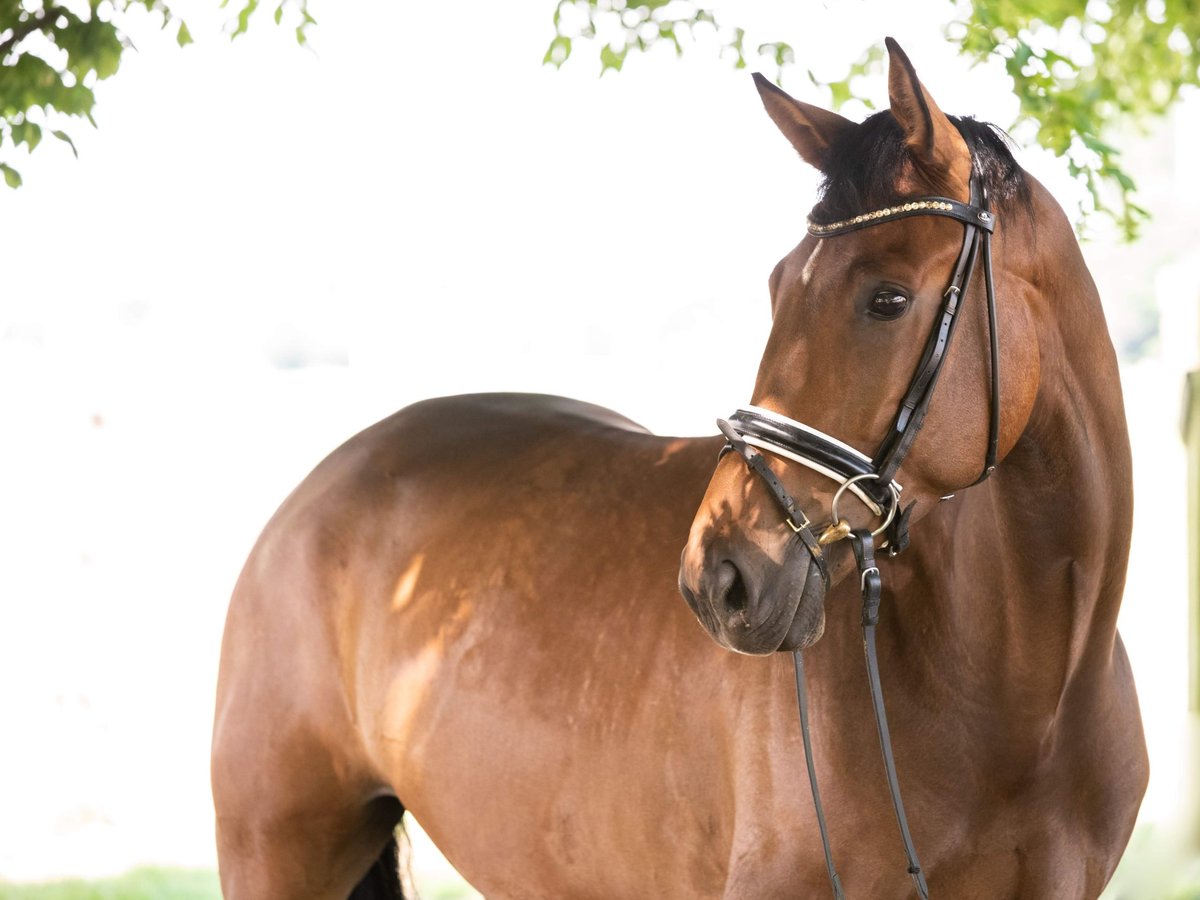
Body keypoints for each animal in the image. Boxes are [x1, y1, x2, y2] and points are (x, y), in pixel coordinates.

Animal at [211, 40, 1147, 900]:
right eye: (776, 287)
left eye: (887, 299)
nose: (718, 579)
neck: (1020, 694)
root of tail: (319, 487)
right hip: (277, 852)